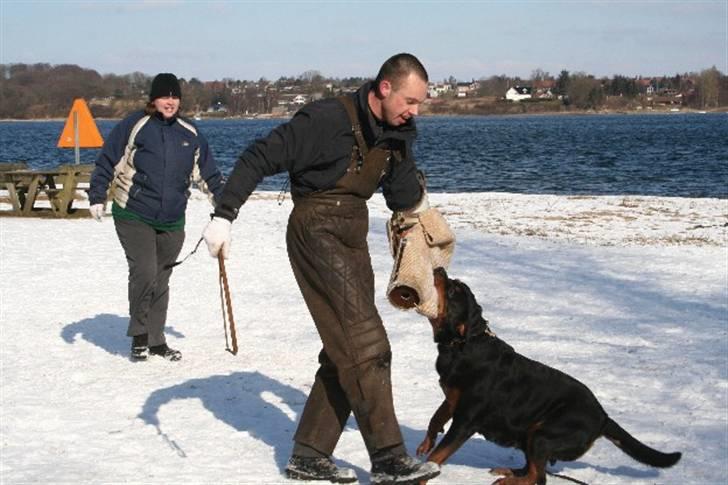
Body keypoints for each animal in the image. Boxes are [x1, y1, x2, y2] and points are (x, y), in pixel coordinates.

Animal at [418, 266, 680, 482]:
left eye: (453, 290)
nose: (439, 269)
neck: (462, 346)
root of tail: (603, 418)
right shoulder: (452, 397)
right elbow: (436, 417)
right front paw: (427, 441)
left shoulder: (466, 420)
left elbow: (439, 455)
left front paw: (424, 472)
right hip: (530, 435)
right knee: (533, 470)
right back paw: (509, 472)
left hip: (542, 435)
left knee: (539, 476)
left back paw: (508, 480)